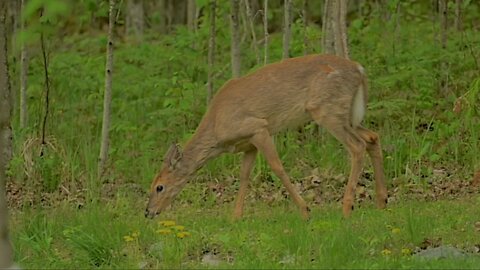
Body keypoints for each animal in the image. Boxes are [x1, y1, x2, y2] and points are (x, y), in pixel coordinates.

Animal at [144, 54, 388, 219]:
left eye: (159, 187)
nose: (148, 212)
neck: (217, 130)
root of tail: (359, 69)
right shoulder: (248, 144)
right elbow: (244, 175)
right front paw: (235, 217)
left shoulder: (258, 128)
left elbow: (277, 167)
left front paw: (305, 210)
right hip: (348, 114)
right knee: (372, 138)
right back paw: (381, 201)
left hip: (327, 109)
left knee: (357, 146)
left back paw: (347, 208)